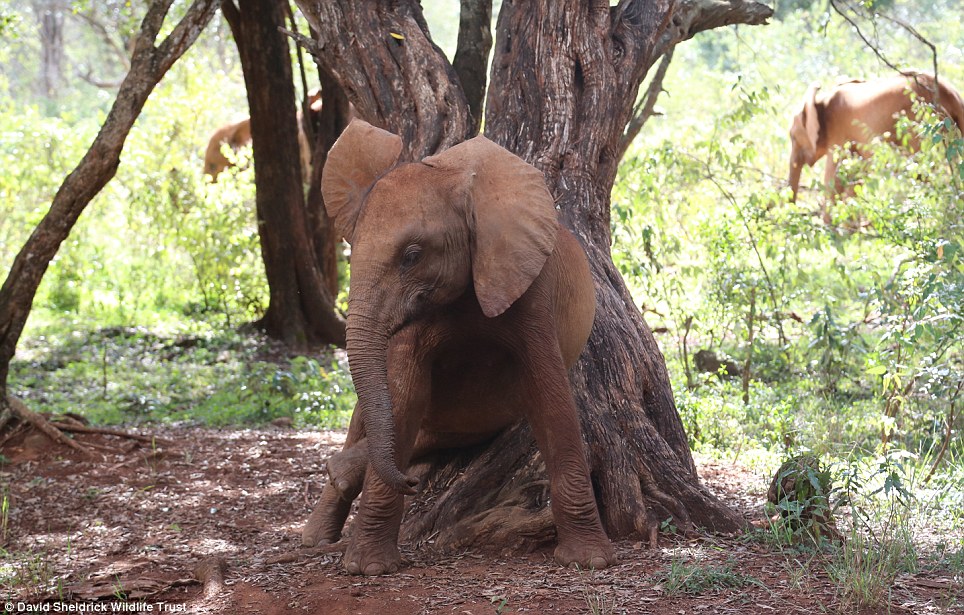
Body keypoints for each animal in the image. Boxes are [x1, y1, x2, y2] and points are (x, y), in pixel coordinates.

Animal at [304, 119, 616, 576]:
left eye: (412, 255)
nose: (412, 482)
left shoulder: (528, 285)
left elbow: (550, 395)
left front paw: (589, 560)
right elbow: (403, 395)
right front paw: (368, 569)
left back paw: (343, 472)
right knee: (369, 417)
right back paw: (317, 529)